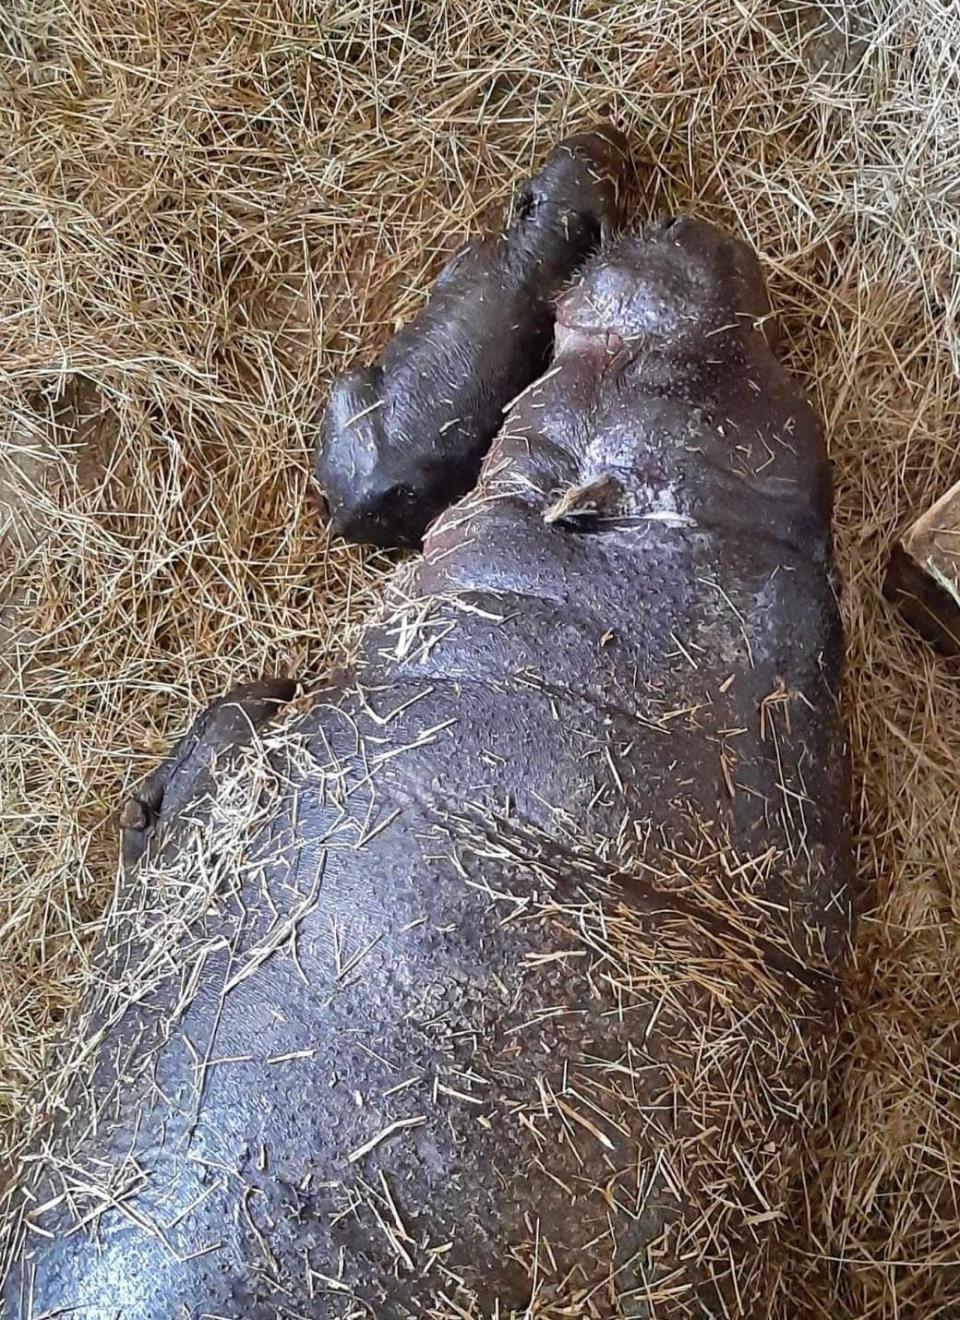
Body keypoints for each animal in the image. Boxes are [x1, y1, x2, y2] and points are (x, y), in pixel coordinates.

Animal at [315, 127, 631, 546]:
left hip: (347, 384)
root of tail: (346, 511)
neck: (538, 247)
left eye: (613, 166)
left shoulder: (471, 252)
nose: (608, 130)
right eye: (577, 150)